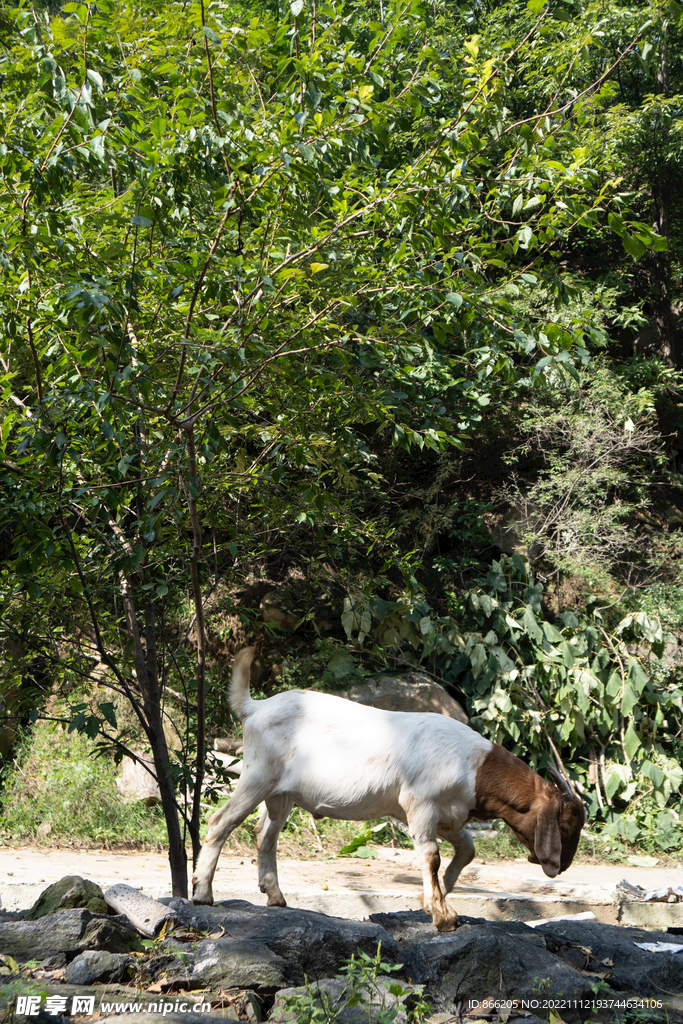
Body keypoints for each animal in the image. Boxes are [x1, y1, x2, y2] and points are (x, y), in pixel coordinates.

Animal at [191, 647, 581, 929]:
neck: (474, 766)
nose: (561, 867)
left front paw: (437, 898)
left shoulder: (449, 816)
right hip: (258, 775)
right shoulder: (420, 805)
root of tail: (255, 707)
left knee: (265, 833)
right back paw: (202, 894)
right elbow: (431, 855)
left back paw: (274, 896)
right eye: (564, 827)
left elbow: (467, 851)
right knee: (221, 822)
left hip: (281, 793)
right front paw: (443, 916)